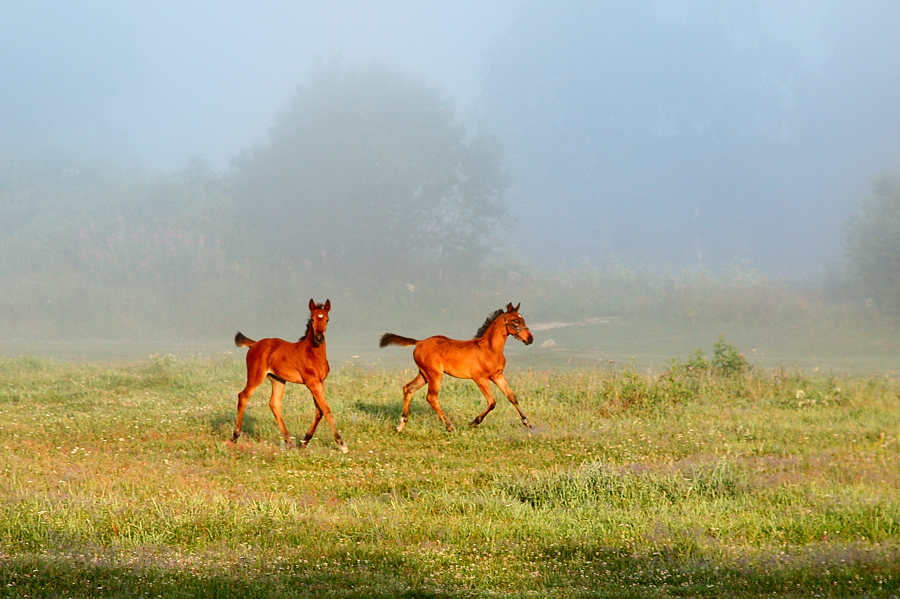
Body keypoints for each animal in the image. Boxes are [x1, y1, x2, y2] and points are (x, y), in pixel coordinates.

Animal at [232, 300, 348, 454]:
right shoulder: (312, 382)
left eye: (327, 319)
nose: (319, 338)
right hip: (256, 376)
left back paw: (290, 442)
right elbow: (326, 410)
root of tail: (254, 344)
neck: (312, 353)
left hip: (278, 379)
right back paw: (235, 436)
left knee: (274, 403)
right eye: (312, 319)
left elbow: (319, 411)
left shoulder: (320, 383)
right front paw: (341, 443)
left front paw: (305, 441)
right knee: (243, 396)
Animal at [380, 302, 536, 434]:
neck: (490, 349)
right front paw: (474, 422)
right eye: (515, 321)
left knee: (409, 388)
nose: (530, 339)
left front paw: (528, 424)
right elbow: (492, 401)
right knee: (431, 397)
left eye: (522, 319)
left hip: (424, 374)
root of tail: (419, 343)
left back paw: (401, 425)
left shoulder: (497, 376)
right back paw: (450, 426)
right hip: (434, 374)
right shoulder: (480, 378)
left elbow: (512, 397)